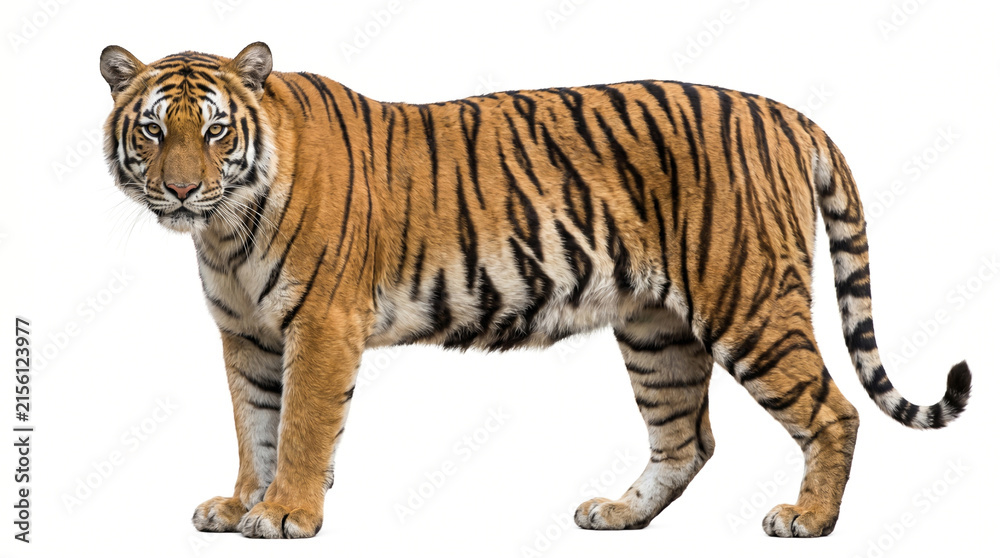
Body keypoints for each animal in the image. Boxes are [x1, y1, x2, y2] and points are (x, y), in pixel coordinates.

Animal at [100, 41, 971, 539]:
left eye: (216, 131)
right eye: (154, 130)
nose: (181, 190)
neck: (225, 229)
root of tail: (789, 115)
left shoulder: (320, 326)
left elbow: (303, 428)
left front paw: (285, 513)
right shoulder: (246, 335)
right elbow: (255, 425)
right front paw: (240, 503)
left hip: (749, 303)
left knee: (834, 412)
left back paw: (808, 520)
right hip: (656, 330)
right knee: (687, 439)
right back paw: (618, 514)